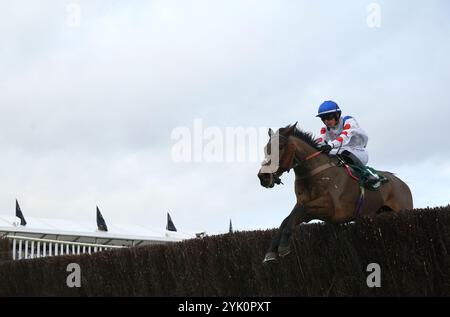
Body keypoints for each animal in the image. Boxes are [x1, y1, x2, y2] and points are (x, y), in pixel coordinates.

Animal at [258, 122, 414, 260]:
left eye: (280, 146)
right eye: (266, 148)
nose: (263, 176)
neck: (313, 173)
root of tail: (402, 183)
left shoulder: (330, 208)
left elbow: (298, 212)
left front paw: (283, 246)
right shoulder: (303, 202)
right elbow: (287, 219)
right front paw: (271, 251)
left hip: (403, 209)